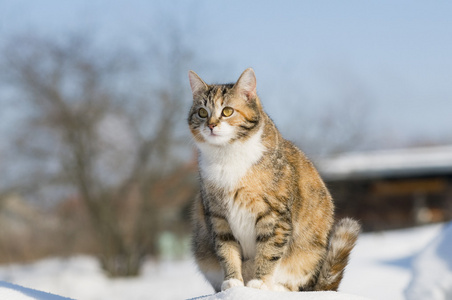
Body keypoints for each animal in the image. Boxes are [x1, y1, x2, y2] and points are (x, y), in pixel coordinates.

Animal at [187, 68, 360, 292]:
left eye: (227, 111)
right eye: (202, 112)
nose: (211, 125)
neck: (227, 155)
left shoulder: (275, 214)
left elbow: (269, 250)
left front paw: (260, 282)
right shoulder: (217, 215)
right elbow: (226, 250)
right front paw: (233, 282)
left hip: (308, 255)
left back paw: (278, 287)